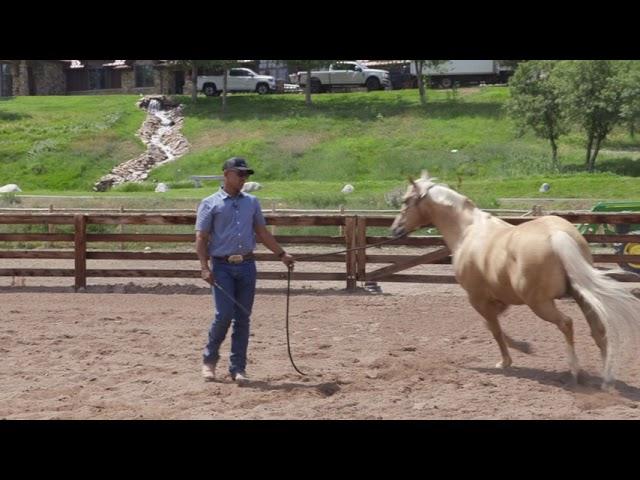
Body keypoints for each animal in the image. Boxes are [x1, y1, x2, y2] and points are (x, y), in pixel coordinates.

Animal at [390, 172, 640, 390]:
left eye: (406, 200)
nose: (395, 229)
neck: (468, 231)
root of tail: (557, 234)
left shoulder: (477, 299)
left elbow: (494, 329)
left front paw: (505, 361)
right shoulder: (500, 298)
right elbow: (492, 325)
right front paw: (525, 347)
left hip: (540, 304)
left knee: (566, 324)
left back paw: (576, 372)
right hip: (580, 295)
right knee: (598, 329)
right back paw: (606, 378)